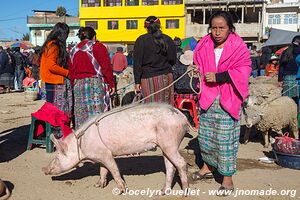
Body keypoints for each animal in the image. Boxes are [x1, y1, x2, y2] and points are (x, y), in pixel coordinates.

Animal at [42, 103, 193, 194]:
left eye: (58, 156)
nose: (43, 169)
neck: (81, 144)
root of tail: (183, 117)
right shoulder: (101, 155)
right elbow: (103, 170)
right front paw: (98, 185)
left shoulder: (106, 154)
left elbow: (114, 170)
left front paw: (122, 190)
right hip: (166, 145)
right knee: (170, 166)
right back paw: (163, 191)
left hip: (170, 142)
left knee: (181, 163)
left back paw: (185, 192)